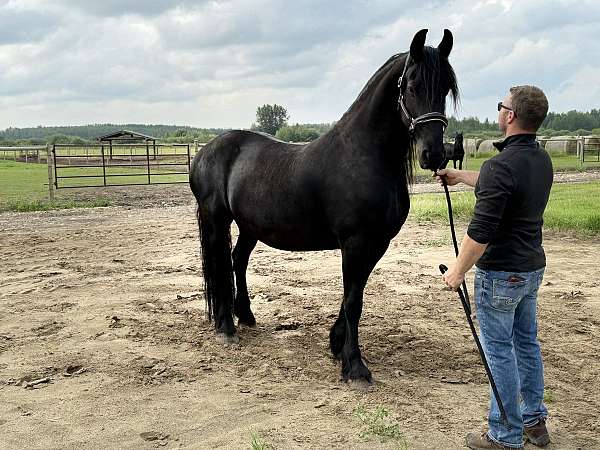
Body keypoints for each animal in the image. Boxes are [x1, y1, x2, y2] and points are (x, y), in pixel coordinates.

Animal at [190, 29, 458, 384]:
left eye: (445, 88)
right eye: (412, 86)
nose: (434, 155)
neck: (362, 155)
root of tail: (205, 151)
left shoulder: (377, 243)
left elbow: (353, 295)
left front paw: (336, 344)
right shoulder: (355, 241)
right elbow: (354, 300)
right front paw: (354, 366)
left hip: (250, 226)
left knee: (238, 261)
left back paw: (245, 315)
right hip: (216, 218)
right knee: (220, 264)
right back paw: (225, 327)